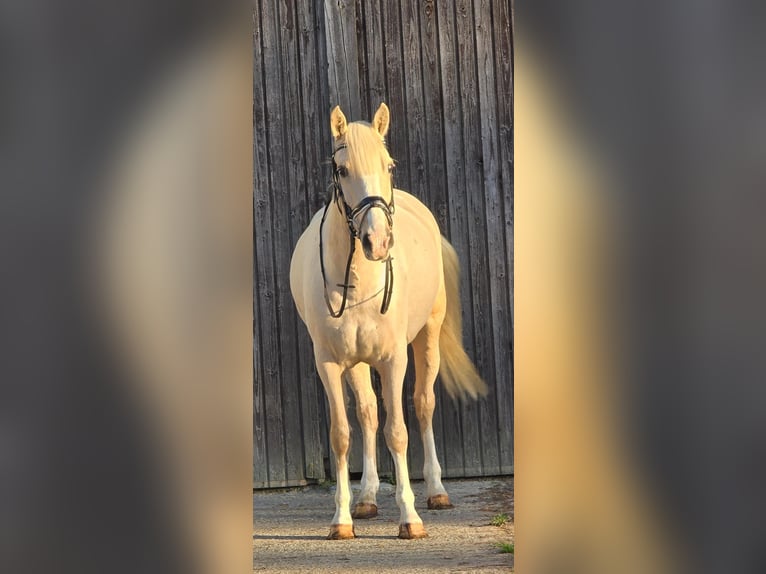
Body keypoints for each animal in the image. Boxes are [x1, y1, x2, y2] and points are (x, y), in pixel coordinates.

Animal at [290, 103, 487, 540]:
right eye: (341, 169)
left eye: (389, 165)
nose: (377, 243)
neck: (358, 281)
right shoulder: (329, 364)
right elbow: (343, 434)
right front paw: (342, 519)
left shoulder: (394, 359)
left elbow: (398, 431)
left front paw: (409, 518)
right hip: (358, 363)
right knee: (367, 414)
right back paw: (365, 498)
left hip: (427, 338)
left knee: (424, 405)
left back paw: (436, 491)